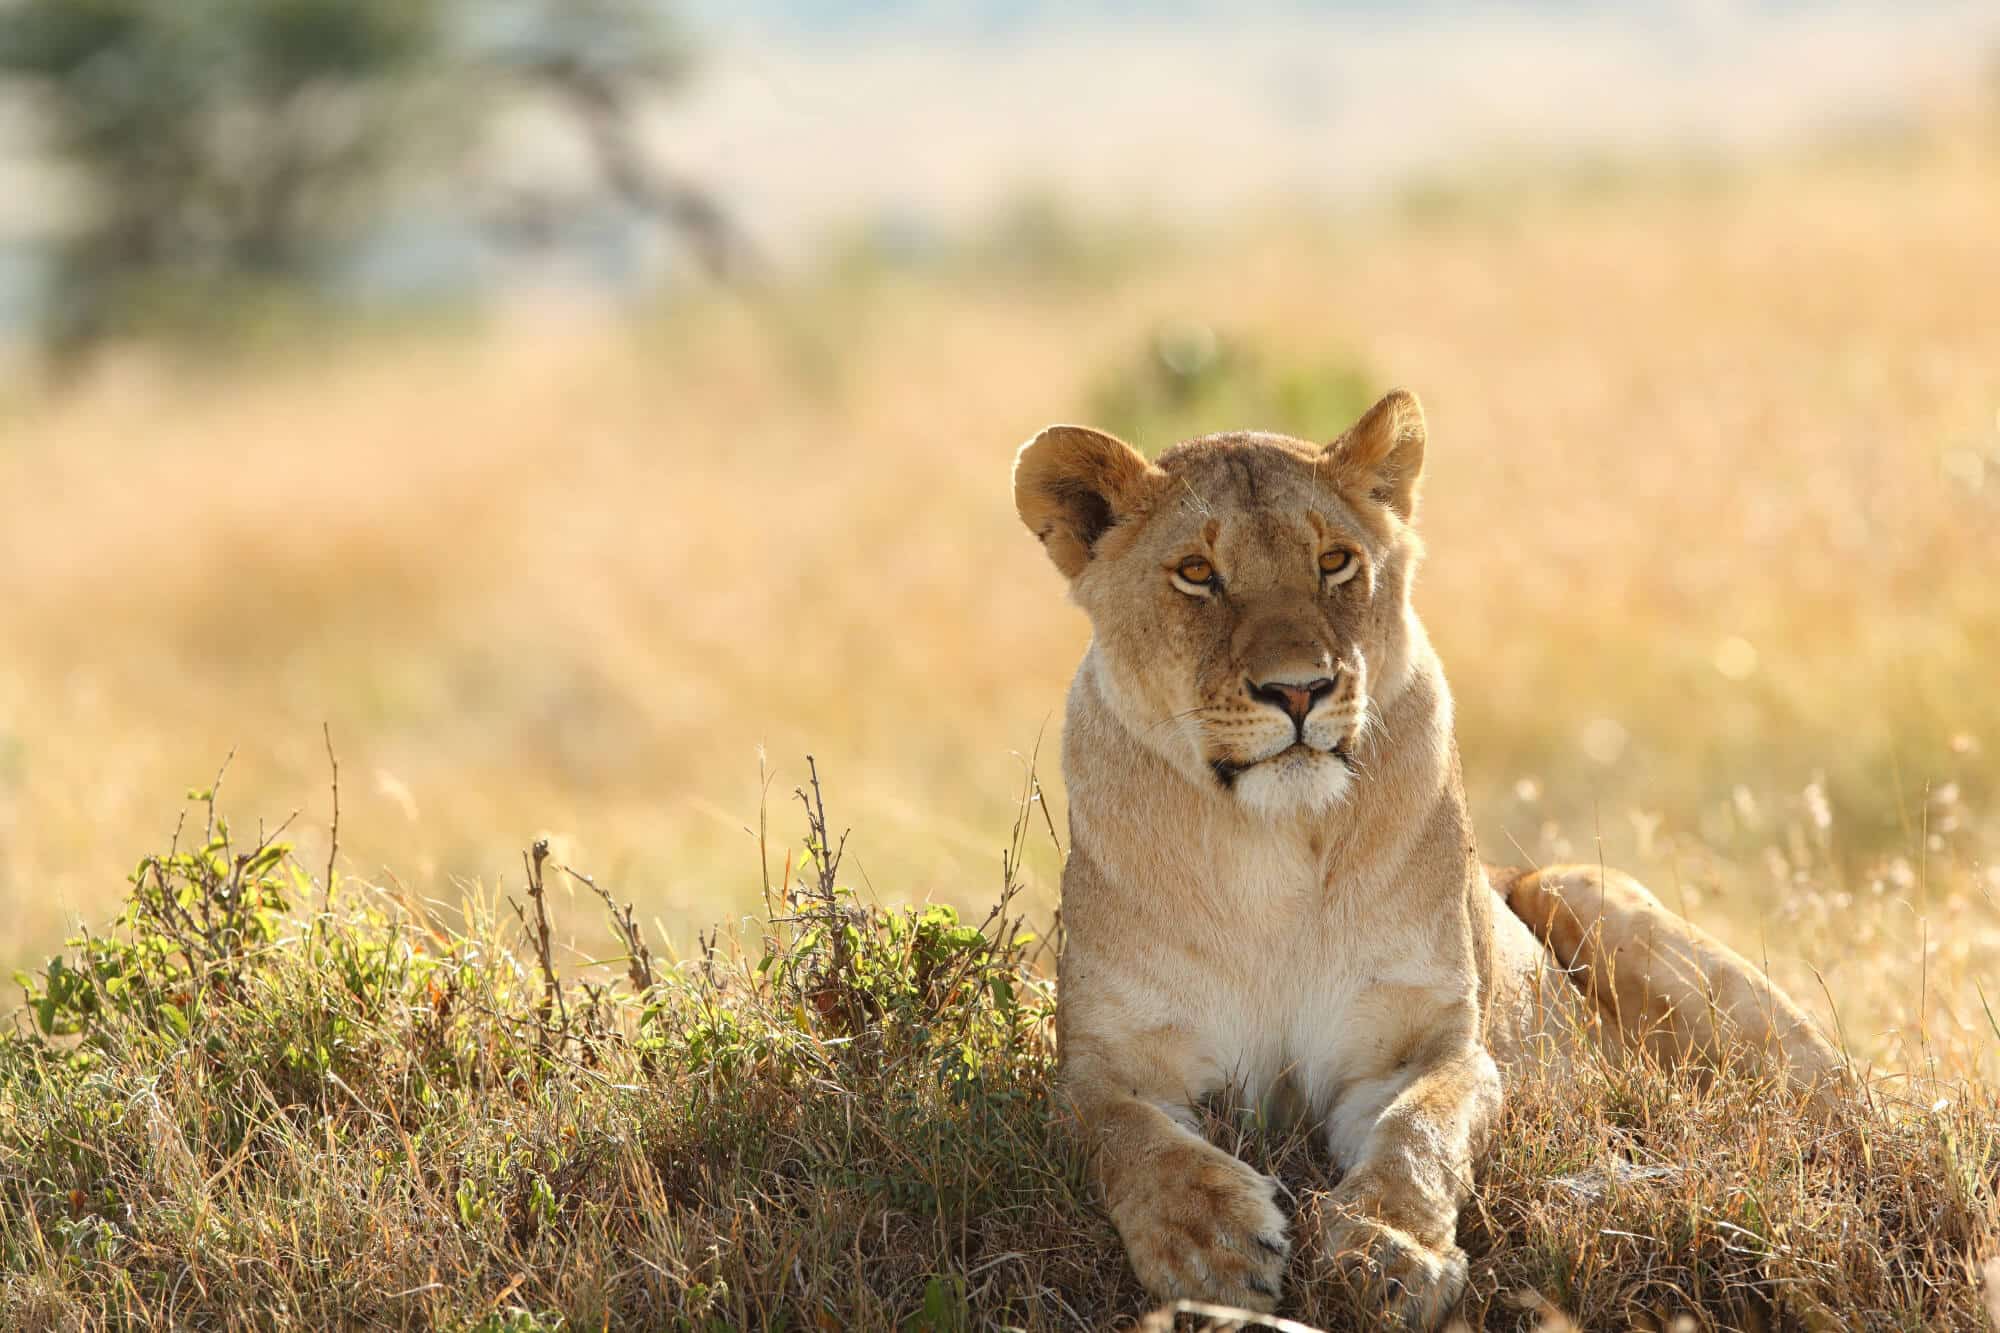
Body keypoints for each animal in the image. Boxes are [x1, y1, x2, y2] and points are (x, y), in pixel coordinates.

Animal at [1011, 390, 1846, 1326]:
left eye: (1335, 561)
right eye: (1197, 572)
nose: (1299, 689)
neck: (1268, 844)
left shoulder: (1424, 1045)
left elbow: (1418, 1129)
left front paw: (1390, 1252)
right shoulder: (1108, 1063)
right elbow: (1128, 1136)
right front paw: (1210, 1246)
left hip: (1581, 891)